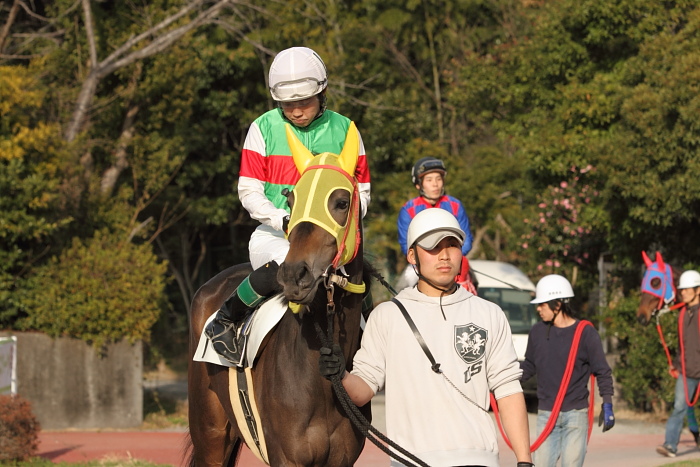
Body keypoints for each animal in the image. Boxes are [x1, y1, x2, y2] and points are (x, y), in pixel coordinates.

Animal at [186, 122, 372, 466]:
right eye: (292, 199)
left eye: (341, 202)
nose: (294, 275)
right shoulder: (286, 457)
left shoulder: (342, 459)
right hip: (210, 434)